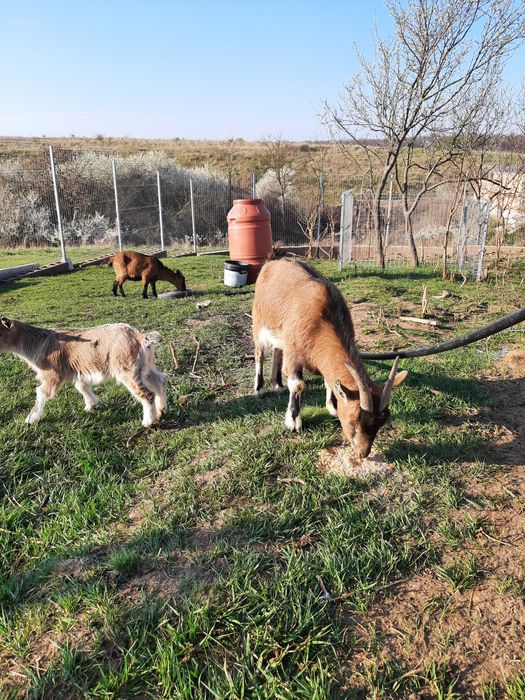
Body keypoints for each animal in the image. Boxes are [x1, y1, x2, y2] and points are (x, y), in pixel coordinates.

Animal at [0, 317, 167, 427]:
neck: (38, 342)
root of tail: (139, 337)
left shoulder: (52, 375)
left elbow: (41, 393)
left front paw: (31, 418)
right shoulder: (79, 371)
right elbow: (82, 387)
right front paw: (91, 405)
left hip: (127, 371)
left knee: (146, 394)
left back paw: (148, 421)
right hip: (146, 366)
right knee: (159, 381)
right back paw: (161, 410)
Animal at [252, 259, 407, 458]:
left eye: (381, 424)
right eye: (353, 423)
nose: (362, 453)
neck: (322, 320)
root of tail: (271, 262)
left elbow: (329, 381)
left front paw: (331, 407)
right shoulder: (294, 352)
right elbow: (297, 385)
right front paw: (294, 422)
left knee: (277, 350)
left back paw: (277, 385)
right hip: (258, 322)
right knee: (260, 353)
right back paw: (260, 389)